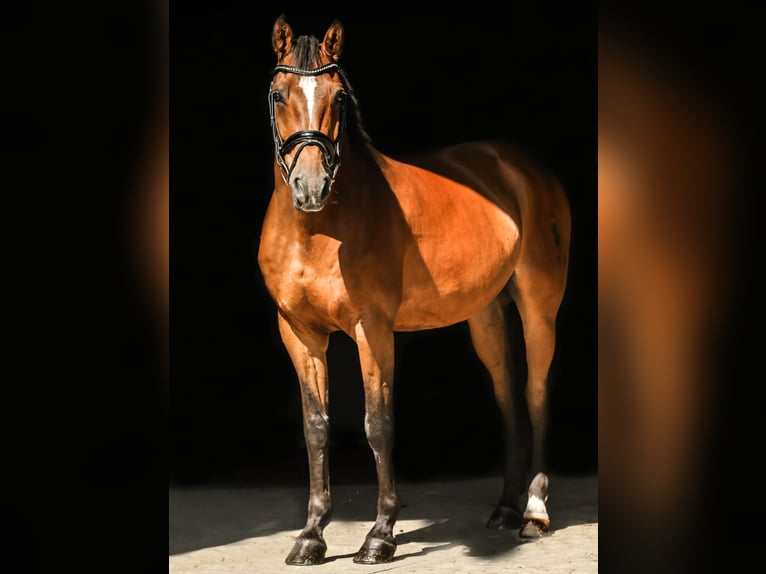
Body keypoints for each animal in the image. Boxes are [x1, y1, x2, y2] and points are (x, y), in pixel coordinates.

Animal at [257, 15, 571, 565]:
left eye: (339, 97)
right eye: (278, 94)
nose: (310, 188)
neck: (318, 230)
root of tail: (522, 168)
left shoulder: (373, 329)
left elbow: (378, 424)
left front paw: (379, 535)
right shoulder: (298, 332)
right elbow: (315, 428)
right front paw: (311, 535)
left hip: (539, 306)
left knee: (535, 394)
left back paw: (533, 511)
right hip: (485, 316)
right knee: (509, 398)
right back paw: (504, 509)